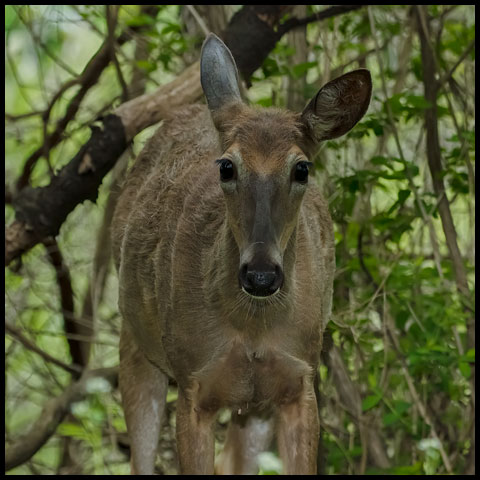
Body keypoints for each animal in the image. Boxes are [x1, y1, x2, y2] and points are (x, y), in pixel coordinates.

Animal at [111, 34, 372, 476]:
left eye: (302, 168)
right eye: (227, 167)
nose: (261, 274)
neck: (251, 328)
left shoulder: (299, 382)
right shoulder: (193, 383)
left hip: (254, 409)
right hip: (136, 344)